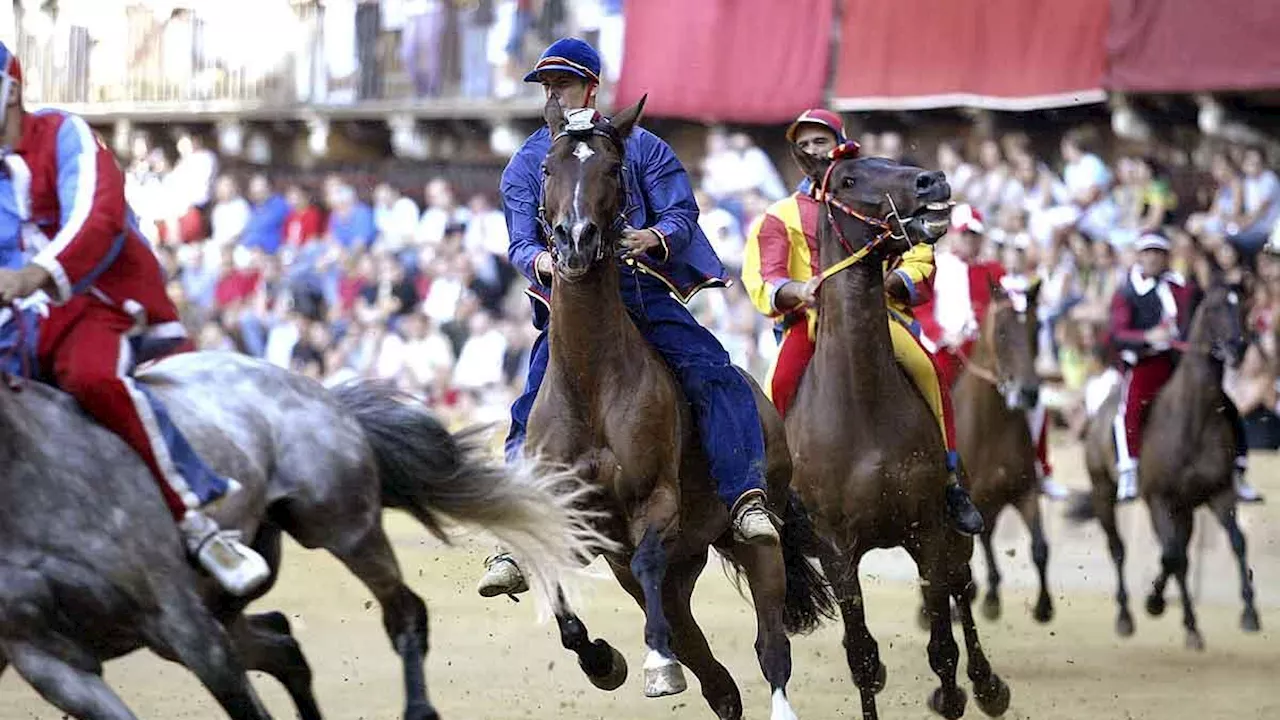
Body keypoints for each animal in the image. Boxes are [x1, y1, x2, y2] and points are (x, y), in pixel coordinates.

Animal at [0, 353, 601, 717]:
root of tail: (317, 392)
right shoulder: (48, 657)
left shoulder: (179, 620)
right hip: (223, 599)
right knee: (282, 643)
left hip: (340, 526)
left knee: (402, 613)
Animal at [783, 147, 1013, 717]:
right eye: (847, 179)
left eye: (887, 158)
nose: (934, 180)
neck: (862, 406)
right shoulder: (837, 551)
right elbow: (862, 657)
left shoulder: (926, 529)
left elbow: (943, 649)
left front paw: (960, 691)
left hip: (953, 528)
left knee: (961, 586)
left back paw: (990, 686)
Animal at [952, 278, 1049, 620]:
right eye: (1003, 331)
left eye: (1036, 328)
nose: (1029, 392)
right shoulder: (973, 501)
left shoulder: (1024, 490)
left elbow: (1039, 547)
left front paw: (1043, 606)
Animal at [1075, 281, 1264, 645]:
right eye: (1214, 308)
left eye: (1245, 307)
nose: (1238, 347)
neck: (1194, 419)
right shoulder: (1158, 500)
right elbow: (1171, 555)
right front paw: (1160, 606)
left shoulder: (1218, 493)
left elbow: (1235, 542)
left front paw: (1249, 613)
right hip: (1104, 491)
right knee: (1119, 548)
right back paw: (1126, 616)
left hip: (1184, 508)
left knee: (1180, 552)